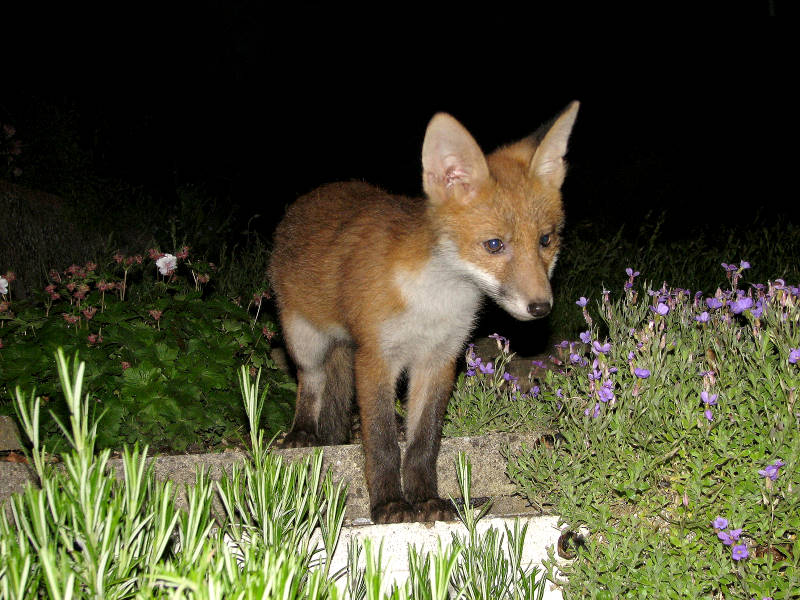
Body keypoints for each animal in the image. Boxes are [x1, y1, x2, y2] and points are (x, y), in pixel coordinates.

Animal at [268, 101, 579, 524]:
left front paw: (426, 499)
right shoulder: (375, 357)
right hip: (306, 339)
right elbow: (381, 442)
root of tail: (321, 191)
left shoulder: (439, 359)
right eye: (494, 245)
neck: (435, 301)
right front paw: (389, 504)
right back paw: (302, 434)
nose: (540, 307)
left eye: (546, 240)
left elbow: (423, 442)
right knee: (311, 381)